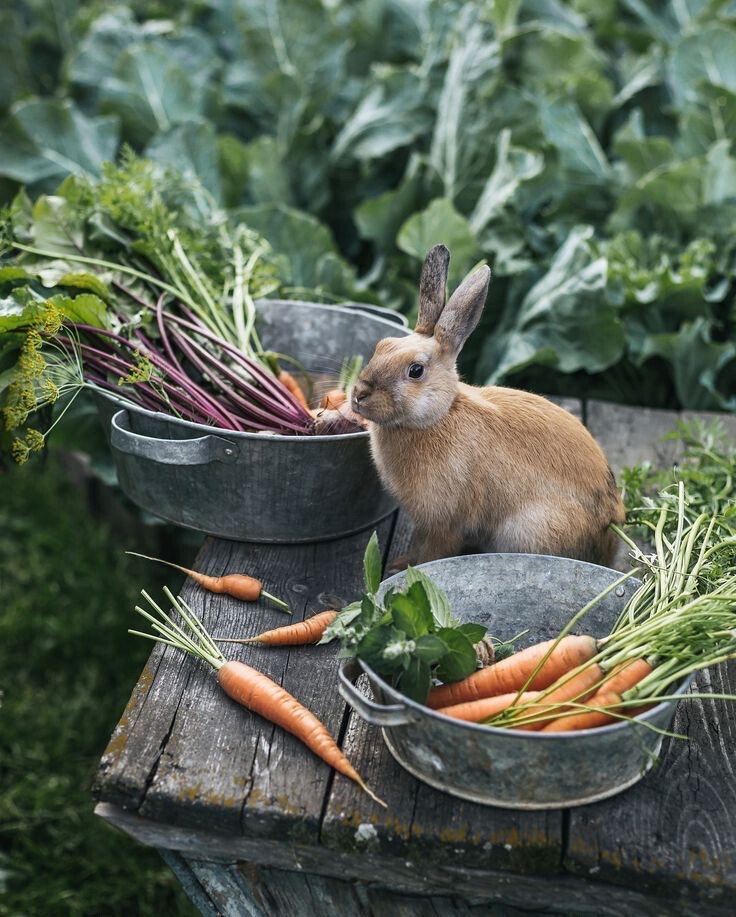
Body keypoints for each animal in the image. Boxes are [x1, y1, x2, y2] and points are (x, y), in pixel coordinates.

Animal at [354, 245, 624, 572]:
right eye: (382, 345)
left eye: (415, 370)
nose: (359, 394)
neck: (438, 417)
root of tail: (609, 535)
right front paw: (402, 563)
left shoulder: (446, 523)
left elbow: (433, 551)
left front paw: (407, 568)